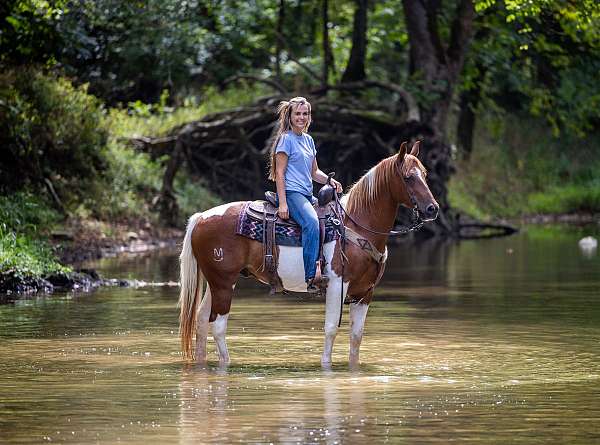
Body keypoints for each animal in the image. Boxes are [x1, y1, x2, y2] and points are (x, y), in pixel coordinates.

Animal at [176, 140, 438, 366]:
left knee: (201, 320)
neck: (356, 225)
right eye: (408, 177)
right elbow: (331, 330)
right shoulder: (337, 285)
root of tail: (201, 217)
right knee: (218, 326)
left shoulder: (365, 293)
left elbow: (356, 337)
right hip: (224, 283)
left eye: (424, 175)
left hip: (216, 282)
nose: (432, 209)